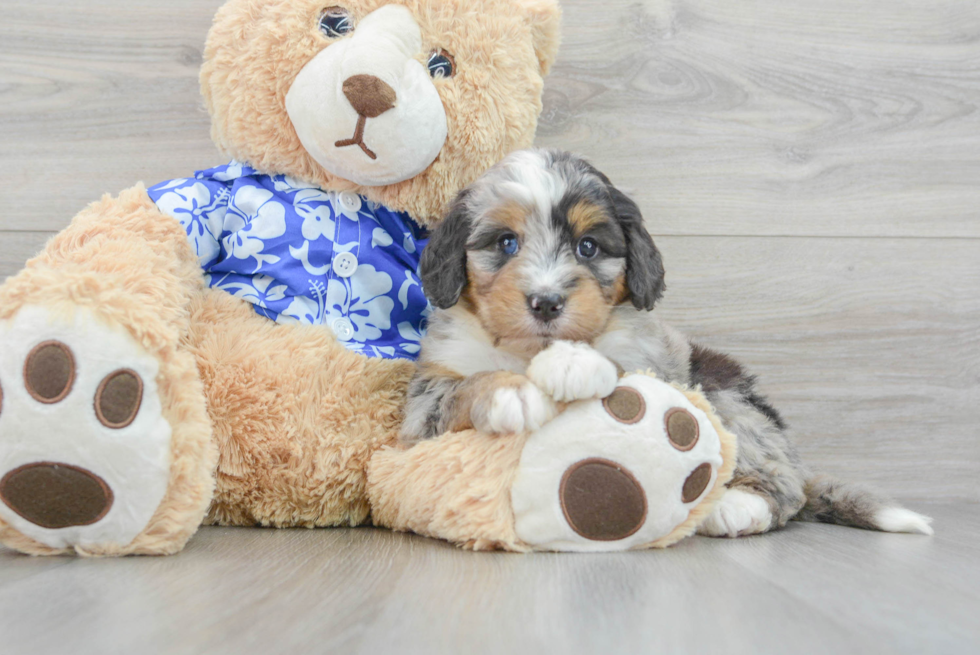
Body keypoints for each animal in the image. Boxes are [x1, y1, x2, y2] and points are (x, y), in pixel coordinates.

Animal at [400, 149, 936, 540]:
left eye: (588, 247)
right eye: (505, 243)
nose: (547, 302)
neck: (528, 349)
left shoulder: (651, 363)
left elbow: (619, 372)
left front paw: (572, 362)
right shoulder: (420, 412)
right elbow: (461, 388)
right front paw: (511, 391)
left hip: (726, 395)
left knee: (786, 487)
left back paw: (738, 505)